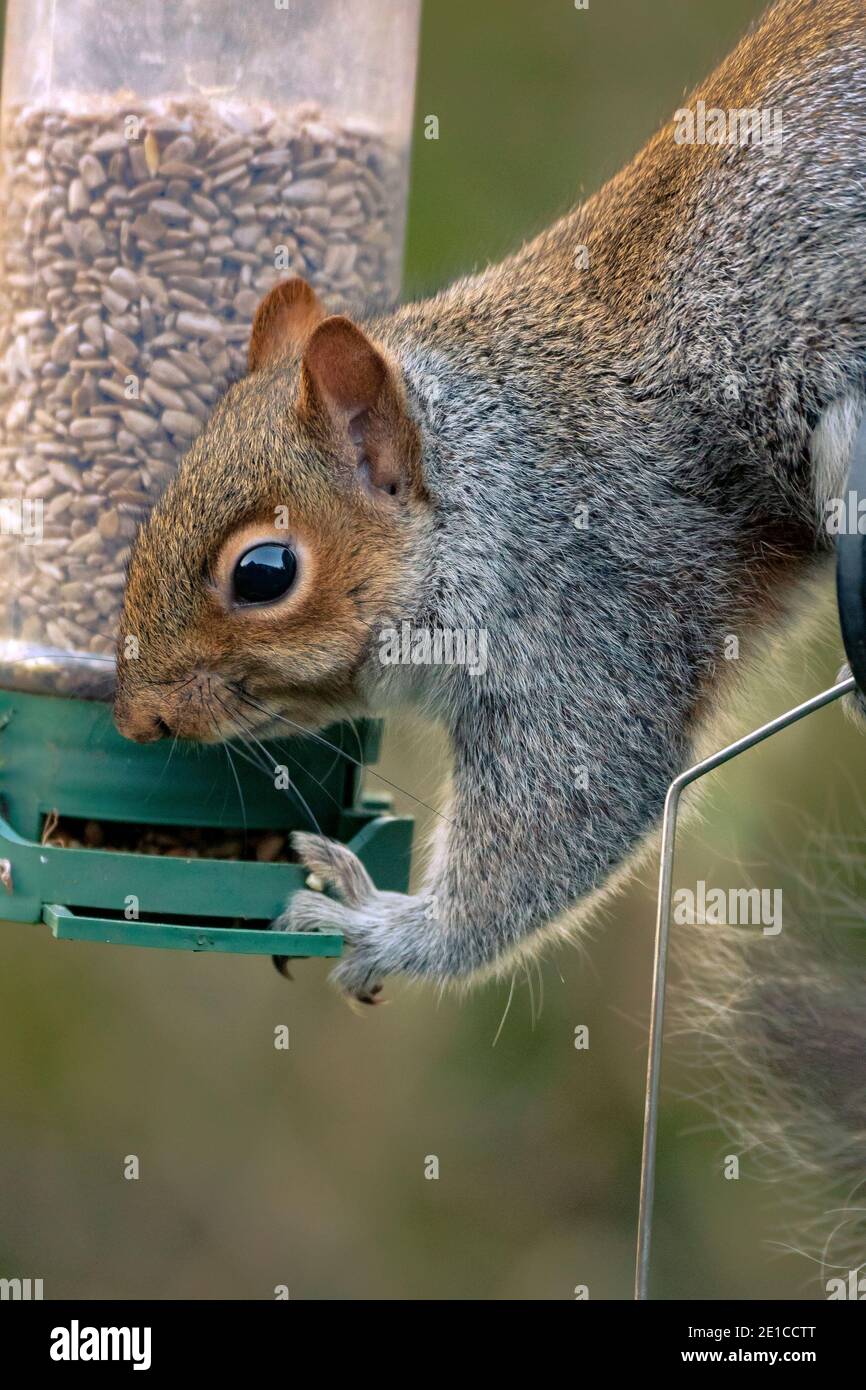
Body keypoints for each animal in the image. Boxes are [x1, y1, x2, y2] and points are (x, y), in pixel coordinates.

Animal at [111, 0, 861, 1256]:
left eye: (262, 573)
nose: (137, 718)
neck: (498, 479)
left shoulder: (591, 621)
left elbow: (568, 810)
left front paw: (388, 925)